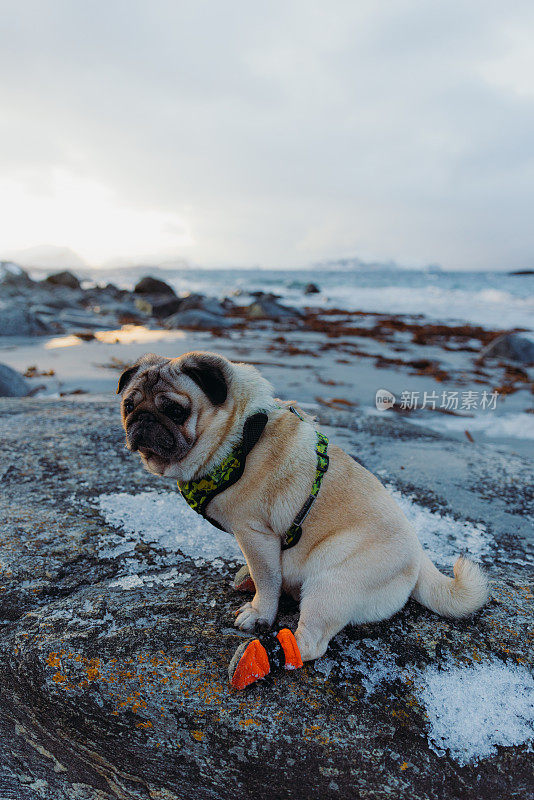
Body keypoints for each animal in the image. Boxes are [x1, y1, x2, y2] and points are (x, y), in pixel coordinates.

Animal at [119, 354, 492, 664]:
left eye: (175, 410)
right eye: (128, 405)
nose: (142, 419)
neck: (239, 436)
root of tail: (418, 559)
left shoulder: (255, 533)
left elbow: (268, 579)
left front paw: (260, 613)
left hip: (331, 583)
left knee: (311, 643)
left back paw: (269, 656)